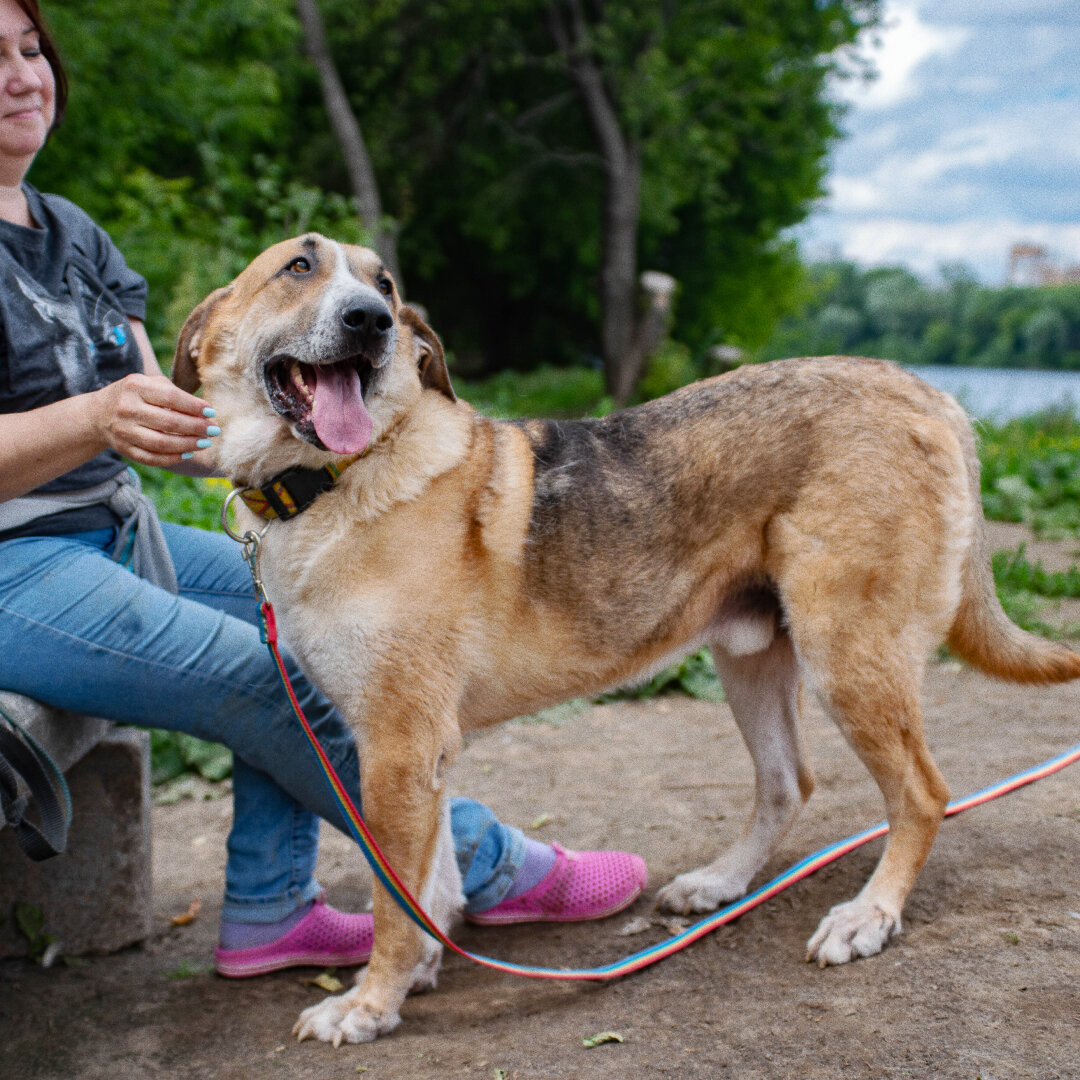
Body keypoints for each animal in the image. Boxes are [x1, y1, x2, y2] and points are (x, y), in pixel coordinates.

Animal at [172, 230, 1080, 1045]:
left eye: (385, 284)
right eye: (298, 266)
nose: (370, 320)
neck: (335, 480)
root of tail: (921, 388)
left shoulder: (399, 747)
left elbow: (399, 901)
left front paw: (369, 1004)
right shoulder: (413, 750)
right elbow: (428, 883)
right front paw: (417, 971)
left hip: (848, 656)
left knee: (922, 793)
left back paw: (870, 915)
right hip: (751, 658)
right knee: (789, 782)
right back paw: (720, 883)